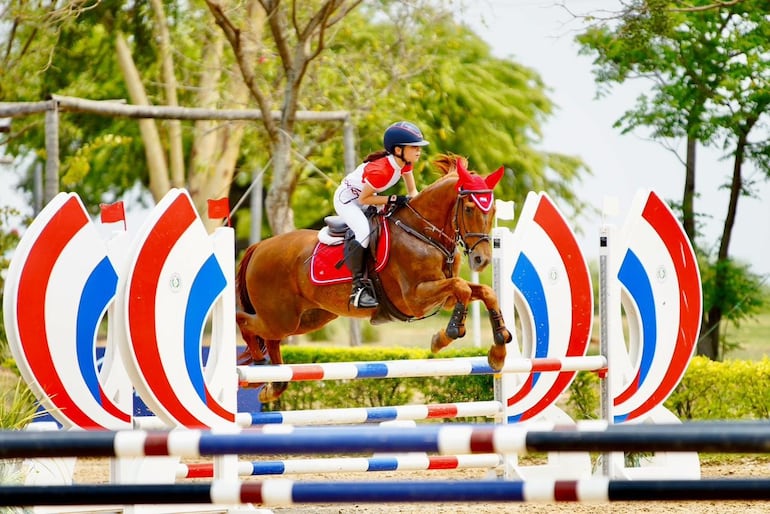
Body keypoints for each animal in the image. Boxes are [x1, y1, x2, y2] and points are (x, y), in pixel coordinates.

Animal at [234, 152, 510, 400]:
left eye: (494, 209)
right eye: (470, 209)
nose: (482, 260)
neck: (422, 233)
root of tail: (260, 246)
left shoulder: (445, 297)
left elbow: (483, 292)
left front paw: (498, 351)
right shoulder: (415, 298)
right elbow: (462, 287)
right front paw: (446, 336)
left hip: (309, 318)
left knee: (271, 339)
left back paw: (273, 384)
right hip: (281, 318)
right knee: (245, 321)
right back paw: (256, 371)